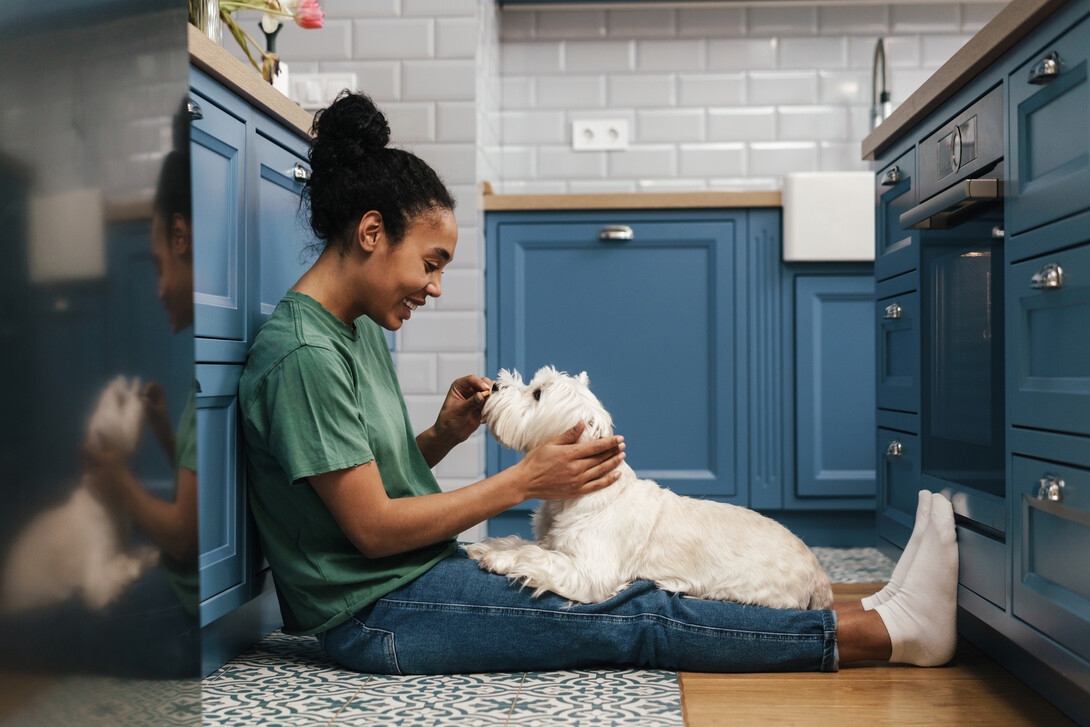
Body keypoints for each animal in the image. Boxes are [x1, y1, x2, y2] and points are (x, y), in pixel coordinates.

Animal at [0, 374, 160, 614]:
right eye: (120, 399)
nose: (142, 393)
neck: (106, 500)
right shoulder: (96, 568)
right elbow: (105, 582)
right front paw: (128, 567)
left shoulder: (121, 541)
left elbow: (131, 551)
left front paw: (143, 555)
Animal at [468, 366, 832, 610]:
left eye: (537, 394)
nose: (495, 385)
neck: (581, 496)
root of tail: (818, 573)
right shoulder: (552, 540)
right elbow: (526, 543)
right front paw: (490, 547)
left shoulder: (590, 571)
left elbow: (538, 557)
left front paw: (500, 559)